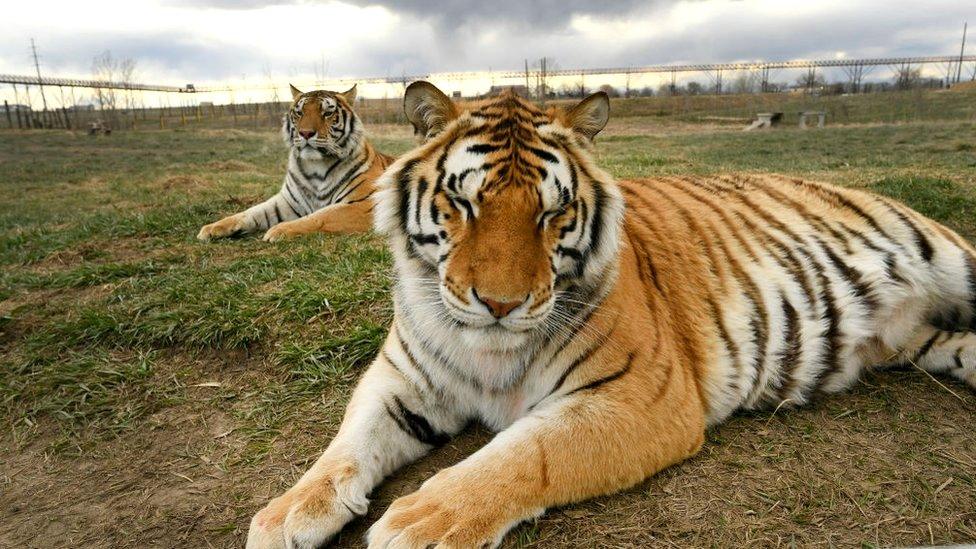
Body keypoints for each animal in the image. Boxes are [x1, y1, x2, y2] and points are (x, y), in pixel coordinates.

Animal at [196, 83, 394, 242]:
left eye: (327, 113)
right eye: (299, 113)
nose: (305, 133)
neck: (316, 167)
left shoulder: (366, 205)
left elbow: (321, 216)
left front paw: (279, 230)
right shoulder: (286, 202)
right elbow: (251, 212)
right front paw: (212, 228)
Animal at [244, 82, 976, 548]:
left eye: (552, 212)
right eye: (464, 204)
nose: (501, 304)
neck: (485, 345)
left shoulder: (643, 395)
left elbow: (526, 452)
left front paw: (421, 520)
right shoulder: (402, 379)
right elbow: (346, 444)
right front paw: (286, 513)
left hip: (952, 257)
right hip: (927, 340)